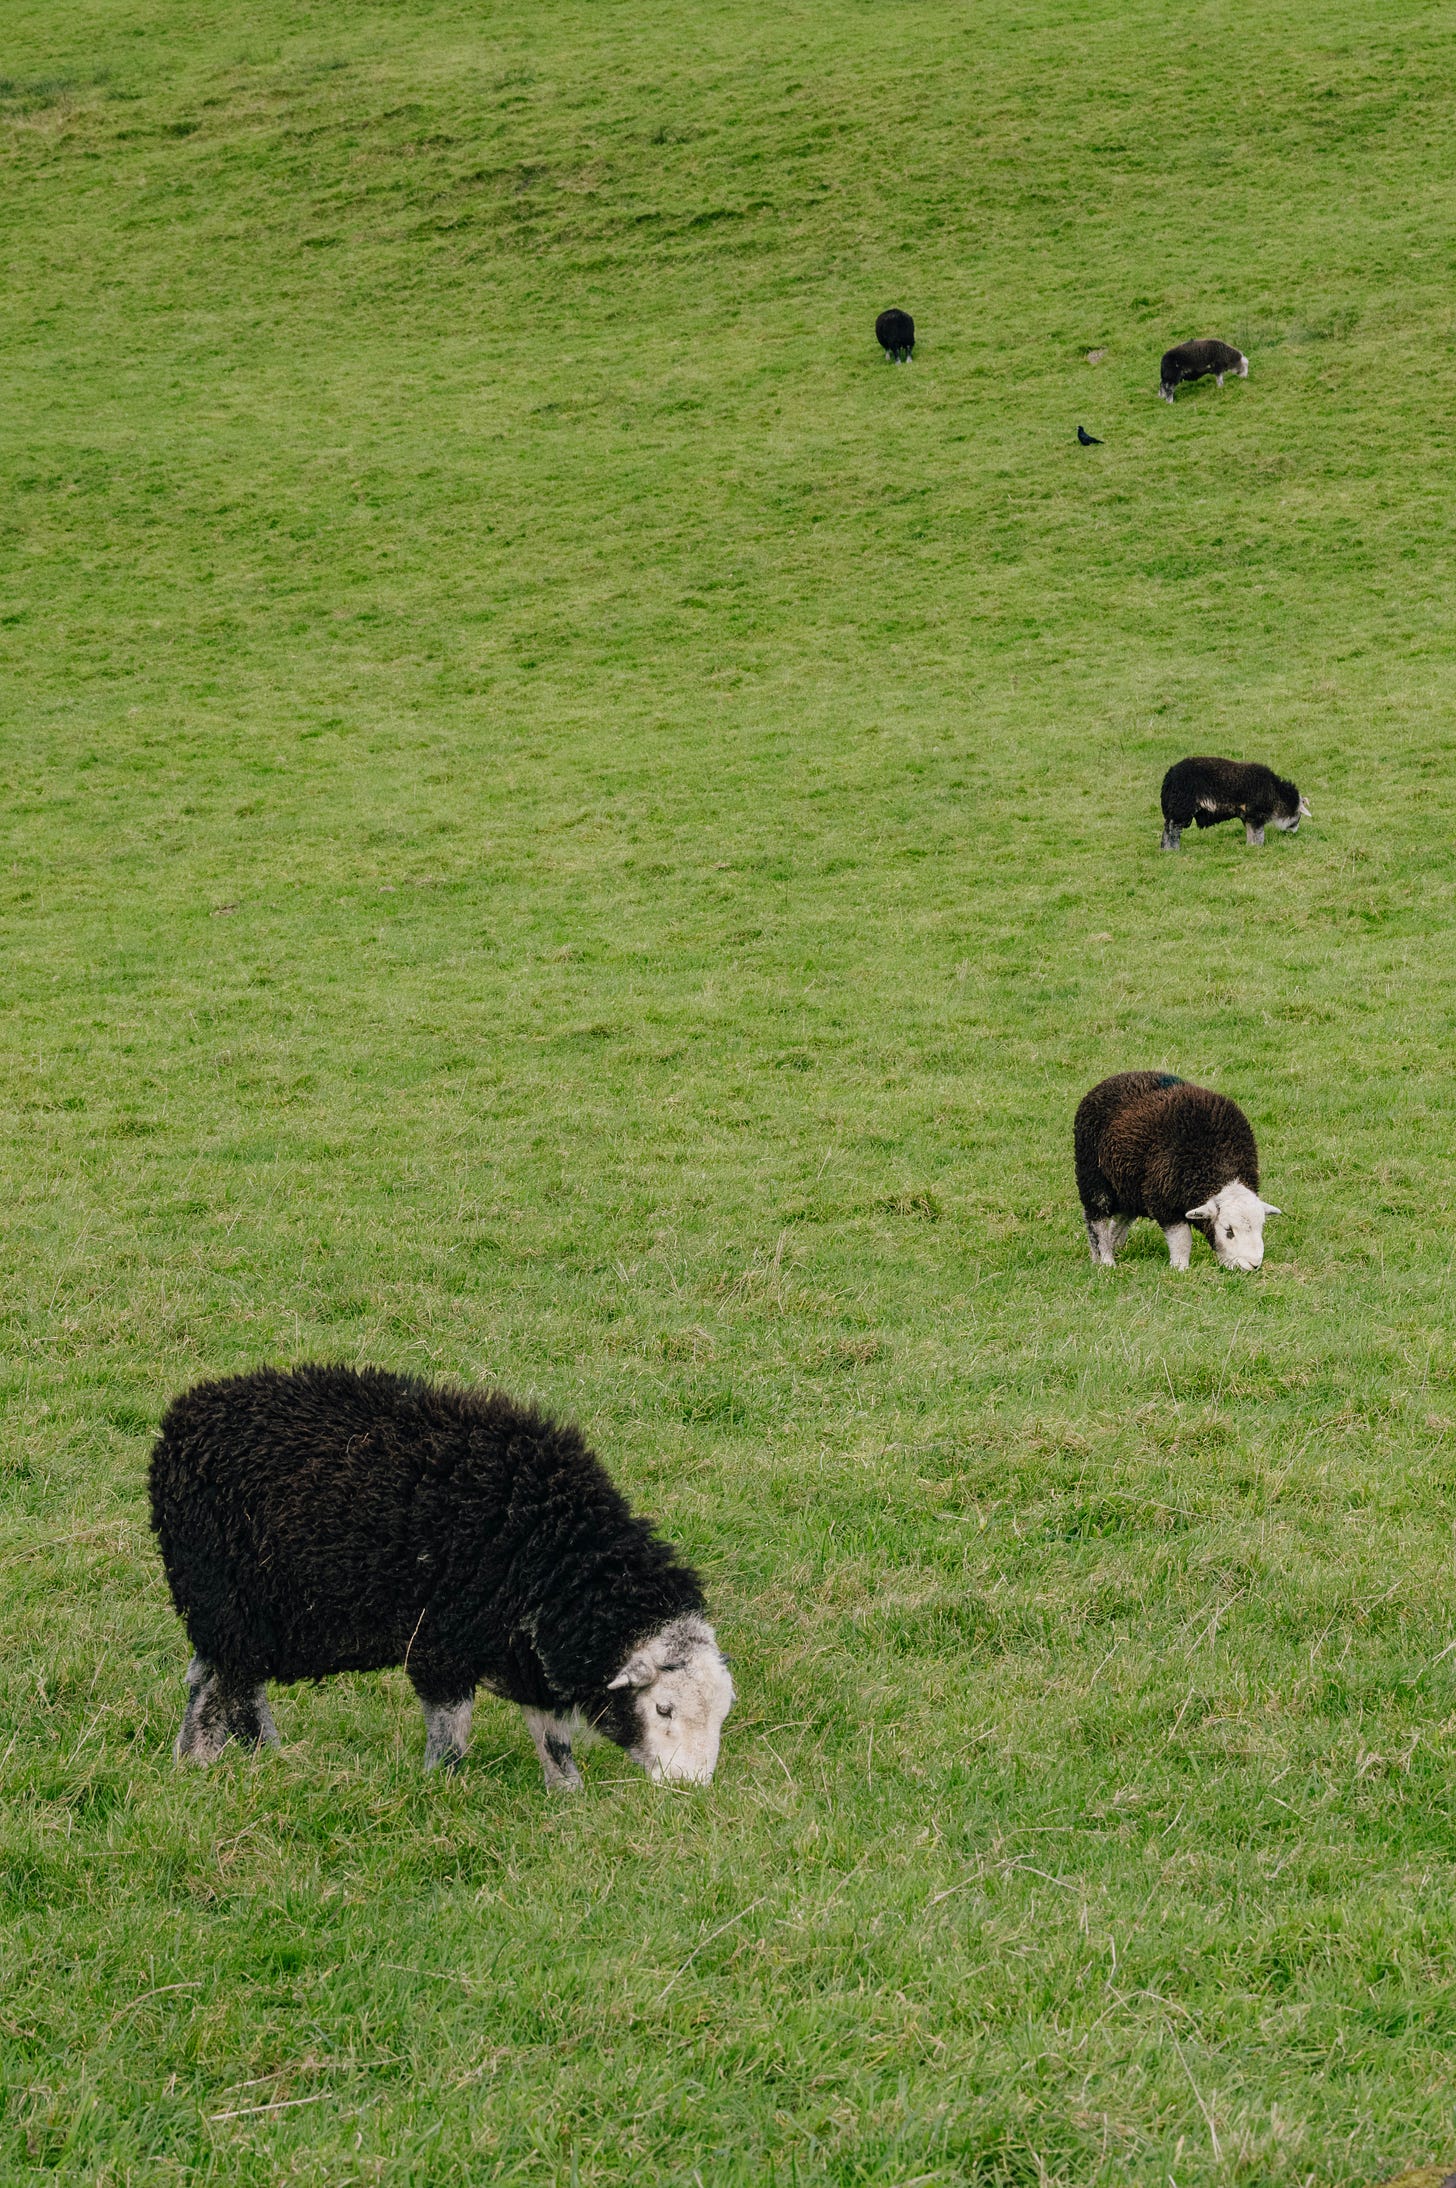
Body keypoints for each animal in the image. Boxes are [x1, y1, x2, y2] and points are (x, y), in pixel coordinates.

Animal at [148, 1363, 734, 1790]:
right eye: (663, 1707)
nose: (690, 1787)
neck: (558, 1561)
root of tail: (181, 1418)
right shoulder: (438, 1644)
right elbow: (452, 1732)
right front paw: (439, 1789)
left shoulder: (525, 1655)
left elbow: (552, 1737)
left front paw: (568, 1796)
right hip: (227, 1598)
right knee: (217, 1685)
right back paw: (197, 1762)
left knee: (230, 1681)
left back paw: (268, 1757)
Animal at [1074, 1071, 1281, 1272]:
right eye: (1228, 1230)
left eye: (1261, 1227)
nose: (1253, 1265)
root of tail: (1115, 1078)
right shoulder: (1163, 1201)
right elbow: (1182, 1238)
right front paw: (1180, 1268)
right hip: (1092, 1174)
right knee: (1096, 1219)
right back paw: (1106, 1260)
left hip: (1129, 1185)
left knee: (1121, 1218)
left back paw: (1108, 1250)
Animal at [1160, 755, 1310, 850]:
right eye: (1299, 816)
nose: (1294, 832)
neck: (1276, 794)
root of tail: (1169, 777)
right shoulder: (1255, 815)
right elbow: (1258, 834)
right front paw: (1258, 847)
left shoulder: (1247, 816)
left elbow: (1250, 833)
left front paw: (1250, 847)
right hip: (1181, 809)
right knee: (1173, 830)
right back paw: (1173, 850)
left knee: (1167, 829)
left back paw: (1165, 850)